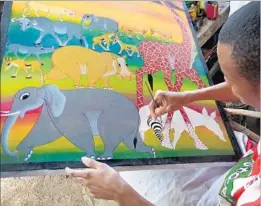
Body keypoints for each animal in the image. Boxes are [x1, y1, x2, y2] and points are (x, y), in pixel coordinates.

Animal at [0, 84, 153, 161]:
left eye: (25, 97)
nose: (15, 153)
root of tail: (137, 114)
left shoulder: (67, 113)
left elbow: (78, 132)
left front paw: (88, 157)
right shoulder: (49, 112)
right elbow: (45, 132)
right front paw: (27, 153)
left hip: (114, 118)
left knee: (108, 135)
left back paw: (104, 158)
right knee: (131, 143)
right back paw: (150, 152)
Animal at [136, 1, 207, 150]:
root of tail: (140, 45)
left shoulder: (189, 71)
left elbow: (199, 88)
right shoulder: (178, 71)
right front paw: (168, 142)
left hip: (155, 66)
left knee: (139, 71)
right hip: (158, 66)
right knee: (139, 72)